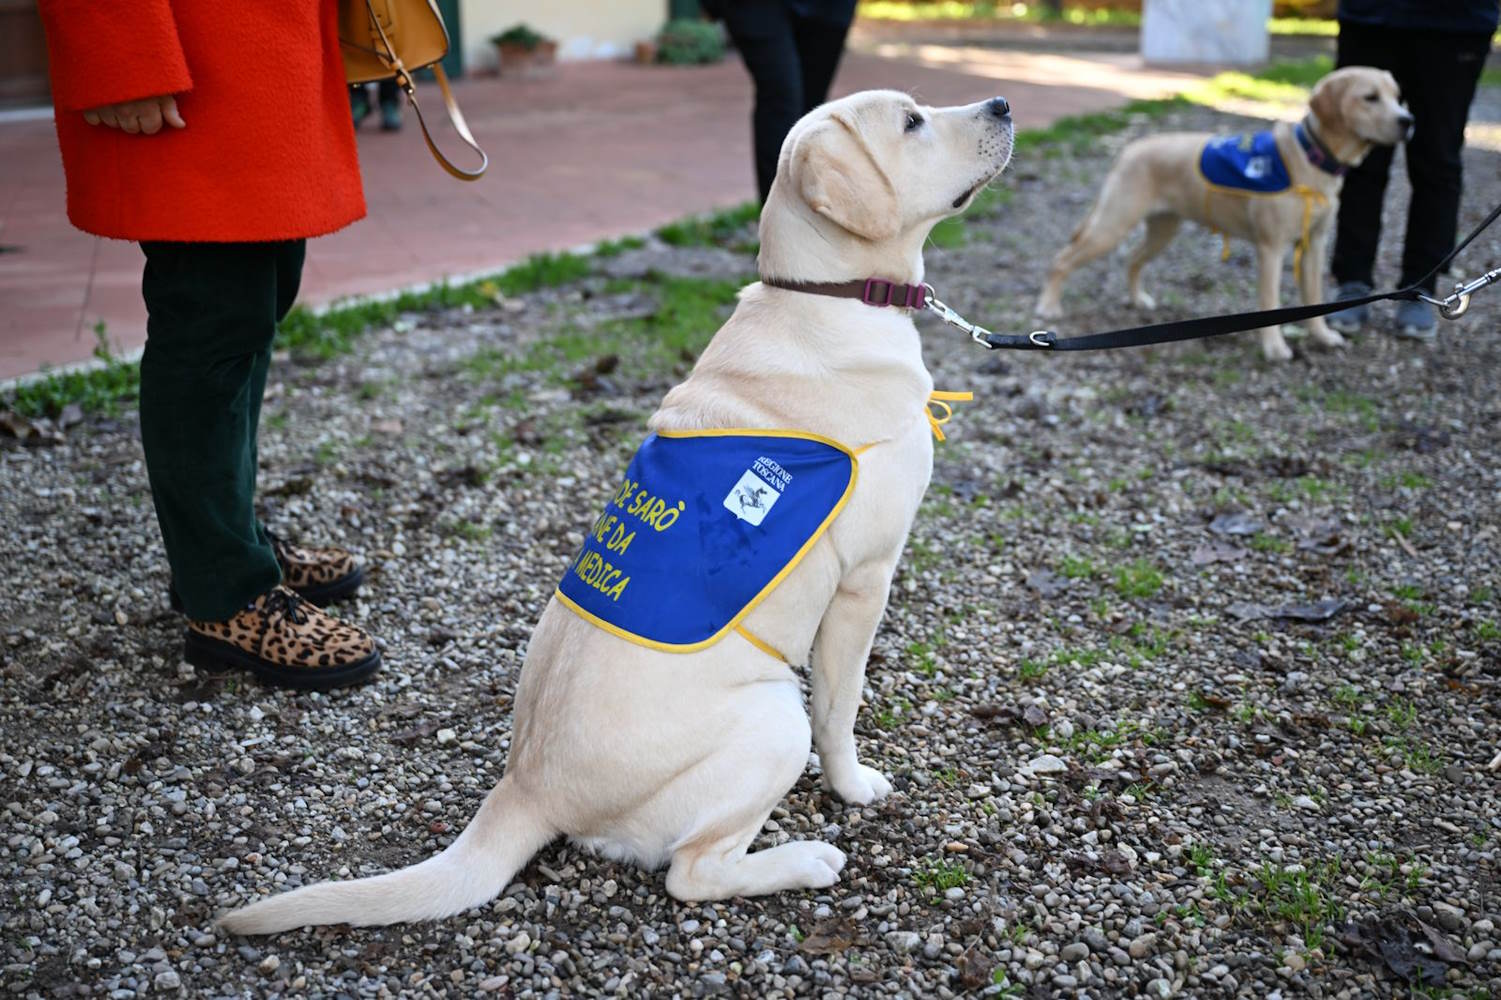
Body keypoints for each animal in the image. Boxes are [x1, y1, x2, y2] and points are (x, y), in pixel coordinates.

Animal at [219, 89, 1020, 930]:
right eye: (910, 122)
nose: (1002, 102)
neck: (825, 297)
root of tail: (527, 789)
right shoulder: (865, 579)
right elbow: (843, 706)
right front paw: (854, 786)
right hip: (775, 721)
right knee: (694, 873)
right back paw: (803, 861)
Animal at [1038, 63, 1410, 358]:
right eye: (1370, 97)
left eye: (1397, 96)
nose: (1408, 120)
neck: (1311, 157)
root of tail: (1129, 149)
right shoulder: (1271, 248)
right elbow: (1271, 302)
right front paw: (1274, 347)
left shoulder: (1314, 245)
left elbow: (1314, 298)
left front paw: (1321, 336)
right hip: (1112, 225)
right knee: (1060, 260)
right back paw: (1048, 306)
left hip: (1163, 230)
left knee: (1132, 260)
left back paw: (1138, 299)